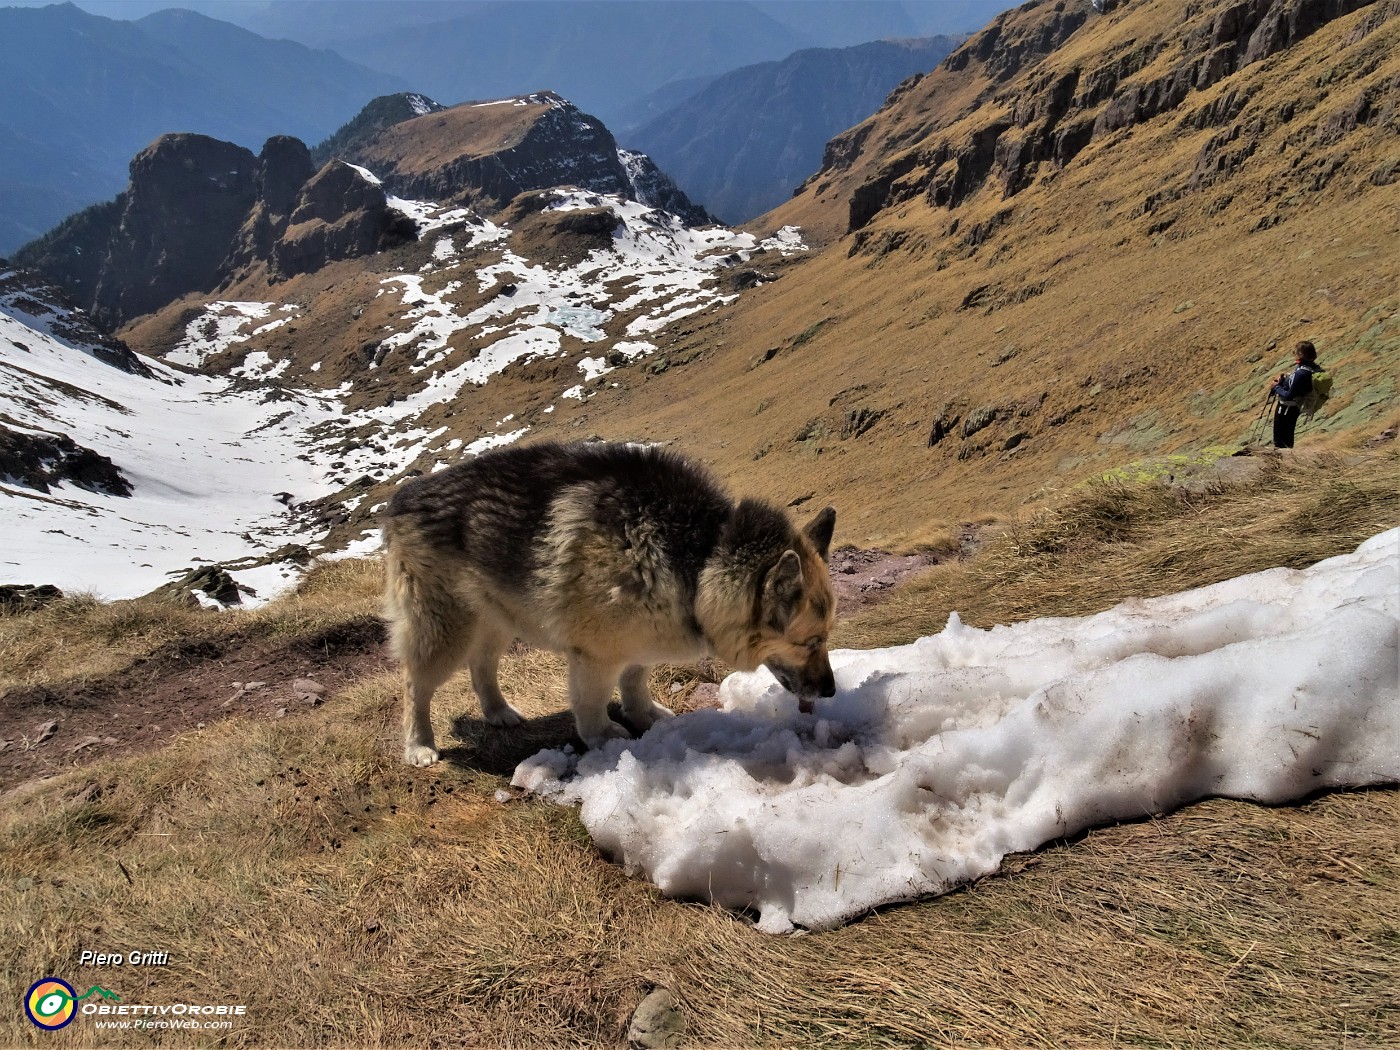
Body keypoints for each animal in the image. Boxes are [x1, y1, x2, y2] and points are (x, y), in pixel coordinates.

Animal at [378, 439, 834, 767]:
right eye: (810, 642)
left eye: (826, 638)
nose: (830, 691)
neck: (700, 554)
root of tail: (403, 498)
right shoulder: (595, 656)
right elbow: (592, 704)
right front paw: (603, 738)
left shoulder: (640, 640)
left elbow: (635, 680)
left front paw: (643, 715)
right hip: (445, 630)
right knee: (415, 684)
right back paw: (419, 745)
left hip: (495, 619)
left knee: (481, 665)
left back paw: (498, 711)